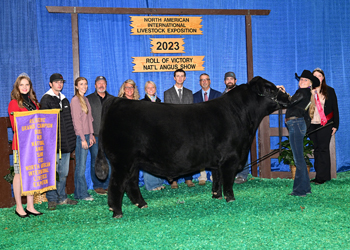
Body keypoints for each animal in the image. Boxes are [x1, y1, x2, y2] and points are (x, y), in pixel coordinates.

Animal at [95, 75, 296, 217]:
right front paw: (230, 199)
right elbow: (228, 181)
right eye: (270, 89)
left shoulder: (217, 161)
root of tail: (116, 100)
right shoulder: (230, 158)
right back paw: (117, 212)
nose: (288, 96)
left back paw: (142, 204)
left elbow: (217, 179)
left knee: (131, 184)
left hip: (133, 163)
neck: (241, 115)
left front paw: (216, 196)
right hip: (121, 161)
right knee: (116, 184)